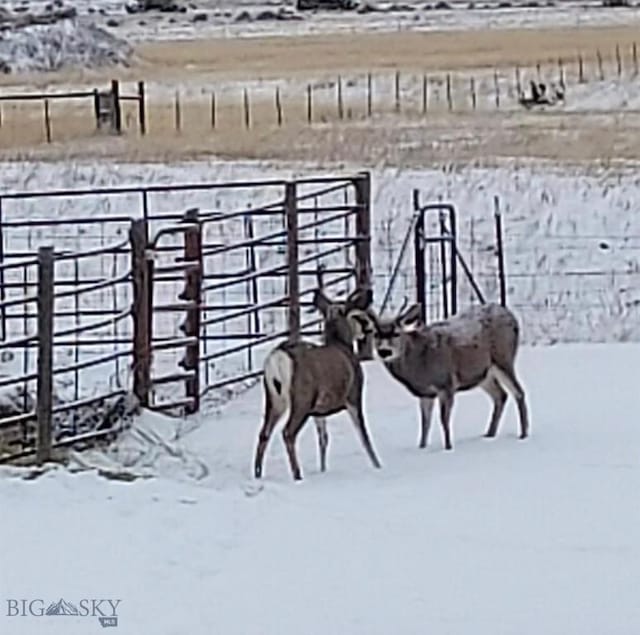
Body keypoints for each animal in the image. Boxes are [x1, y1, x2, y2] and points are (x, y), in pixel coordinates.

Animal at [254, 286, 382, 480]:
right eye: (359, 316)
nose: (370, 327)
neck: (343, 345)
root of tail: (277, 359)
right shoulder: (353, 394)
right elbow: (363, 434)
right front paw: (377, 465)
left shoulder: (319, 409)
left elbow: (323, 438)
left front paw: (322, 469)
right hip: (302, 397)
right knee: (288, 432)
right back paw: (297, 475)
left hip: (274, 398)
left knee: (264, 433)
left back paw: (258, 473)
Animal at [356, 304, 528, 452]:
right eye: (376, 334)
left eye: (396, 333)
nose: (384, 351)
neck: (419, 365)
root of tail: (511, 315)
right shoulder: (425, 393)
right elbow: (425, 423)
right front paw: (422, 447)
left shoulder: (446, 383)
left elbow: (444, 419)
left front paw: (448, 447)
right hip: (482, 373)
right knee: (501, 395)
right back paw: (489, 434)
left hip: (503, 358)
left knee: (518, 392)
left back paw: (523, 434)